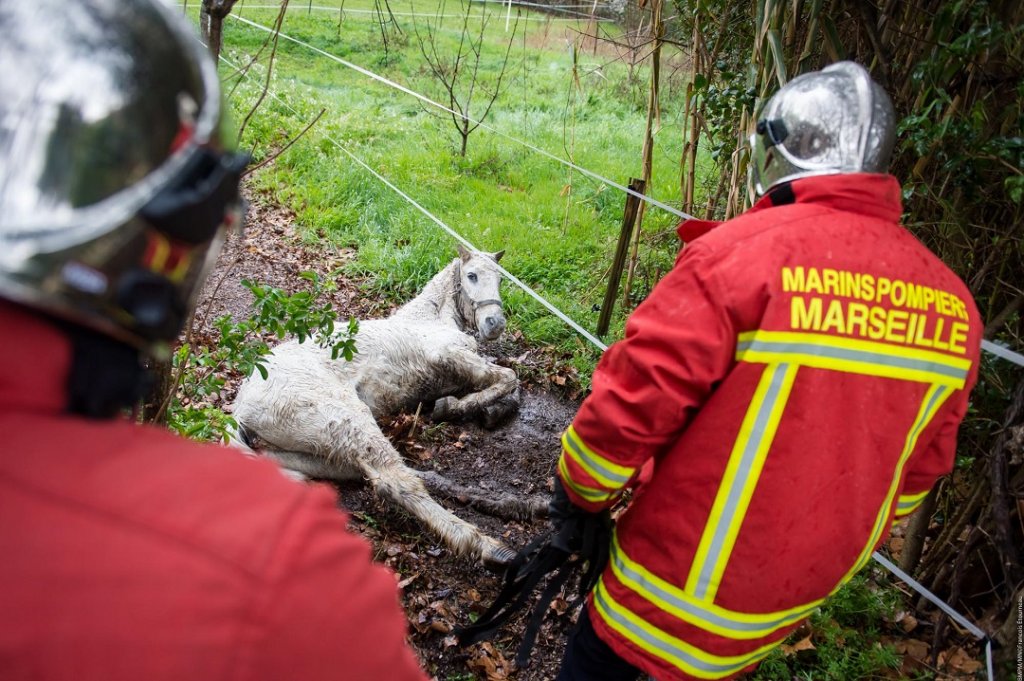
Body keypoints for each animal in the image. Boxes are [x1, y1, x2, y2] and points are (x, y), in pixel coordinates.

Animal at [233, 246, 528, 565]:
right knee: (393, 480)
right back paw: (487, 546)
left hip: (316, 445)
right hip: (348, 420)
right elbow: (509, 377)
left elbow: (511, 383)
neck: (430, 319)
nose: (495, 324)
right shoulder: (448, 356)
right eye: (472, 275)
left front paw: (480, 409)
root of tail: (240, 407)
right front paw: (455, 408)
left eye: (500, 279)